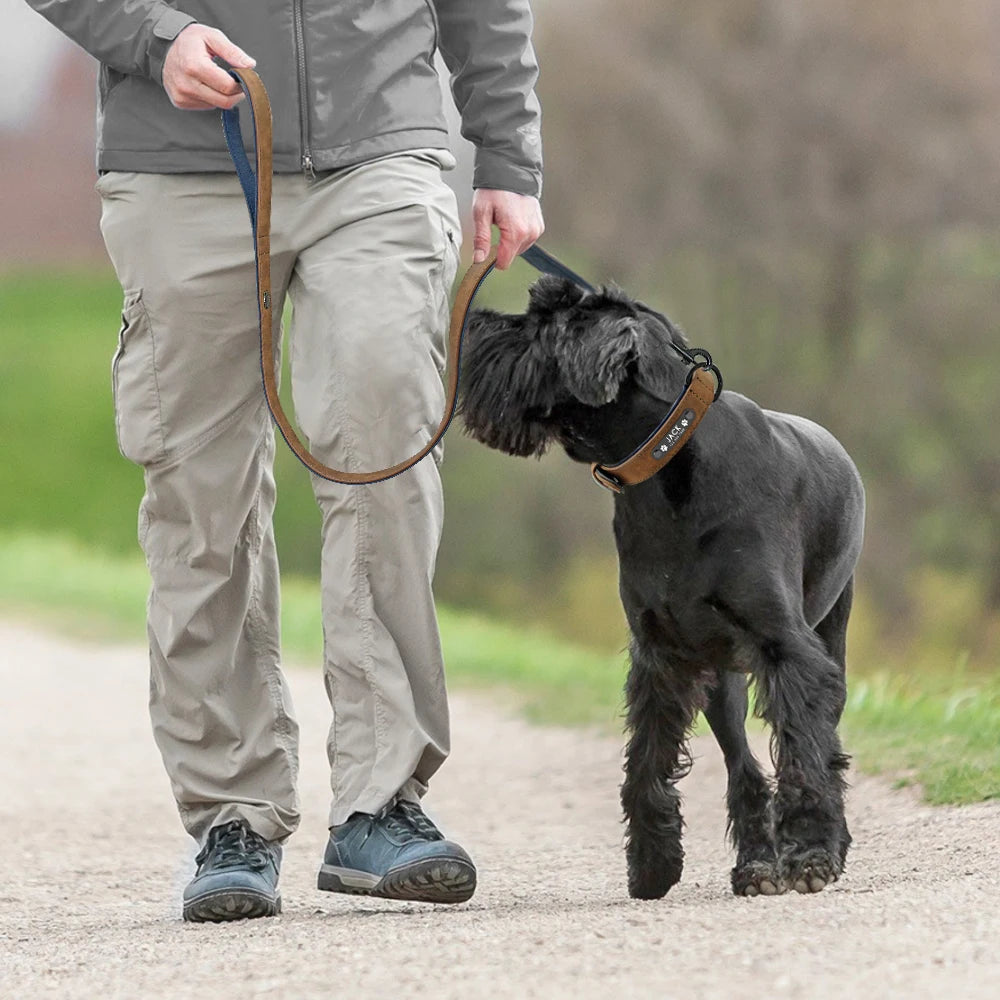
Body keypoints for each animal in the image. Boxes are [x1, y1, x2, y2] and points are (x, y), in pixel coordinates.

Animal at [458, 278, 864, 904]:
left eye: (542, 323)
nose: (470, 322)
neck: (667, 466)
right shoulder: (660, 654)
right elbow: (646, 762)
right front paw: (652, 863)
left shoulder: (788, 650)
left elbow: (803, 753)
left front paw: (813, 853)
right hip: (721, 679)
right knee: (744, 769)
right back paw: (756, 864)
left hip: (829, 640)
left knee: (825, 748)